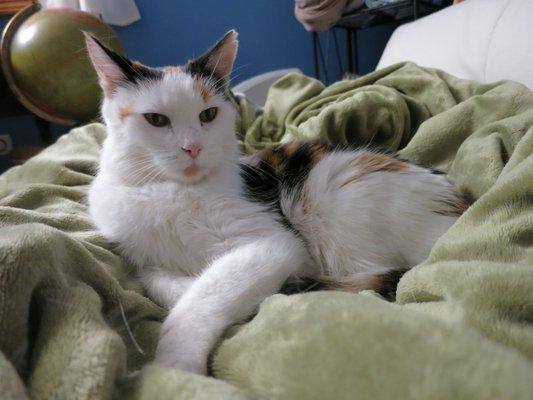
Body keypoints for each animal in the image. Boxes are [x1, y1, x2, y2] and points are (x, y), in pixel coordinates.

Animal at [84, 30, 466, 376]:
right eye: (156, 119)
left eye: (208, 115)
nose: (193, 148)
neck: (170, 191)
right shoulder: (144, 259)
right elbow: (161, 283)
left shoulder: (274, 242)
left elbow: (210, 290)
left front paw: (173, 367)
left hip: (338, 192)